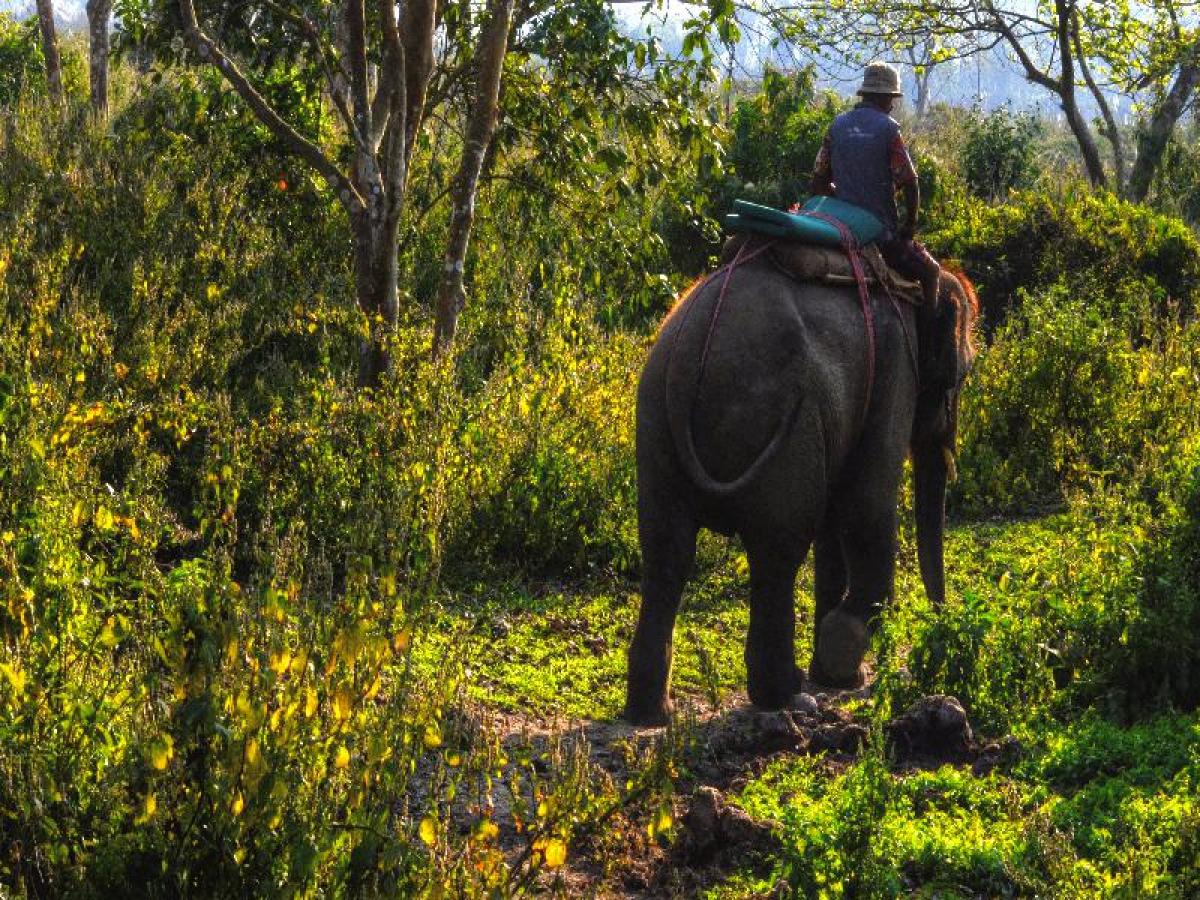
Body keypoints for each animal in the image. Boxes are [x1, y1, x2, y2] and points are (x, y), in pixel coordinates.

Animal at [623, 240, 979, 726]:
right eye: (962, 375)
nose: (943, 617)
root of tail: (692, 353)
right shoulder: (895, 366)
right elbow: (866, 503)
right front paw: (841, 654)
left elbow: (835, 523)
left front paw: (837, 676)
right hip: (789, 423)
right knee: (778, 550)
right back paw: (781, 693)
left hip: (655, 422)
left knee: (666, 551)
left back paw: (653, 714)